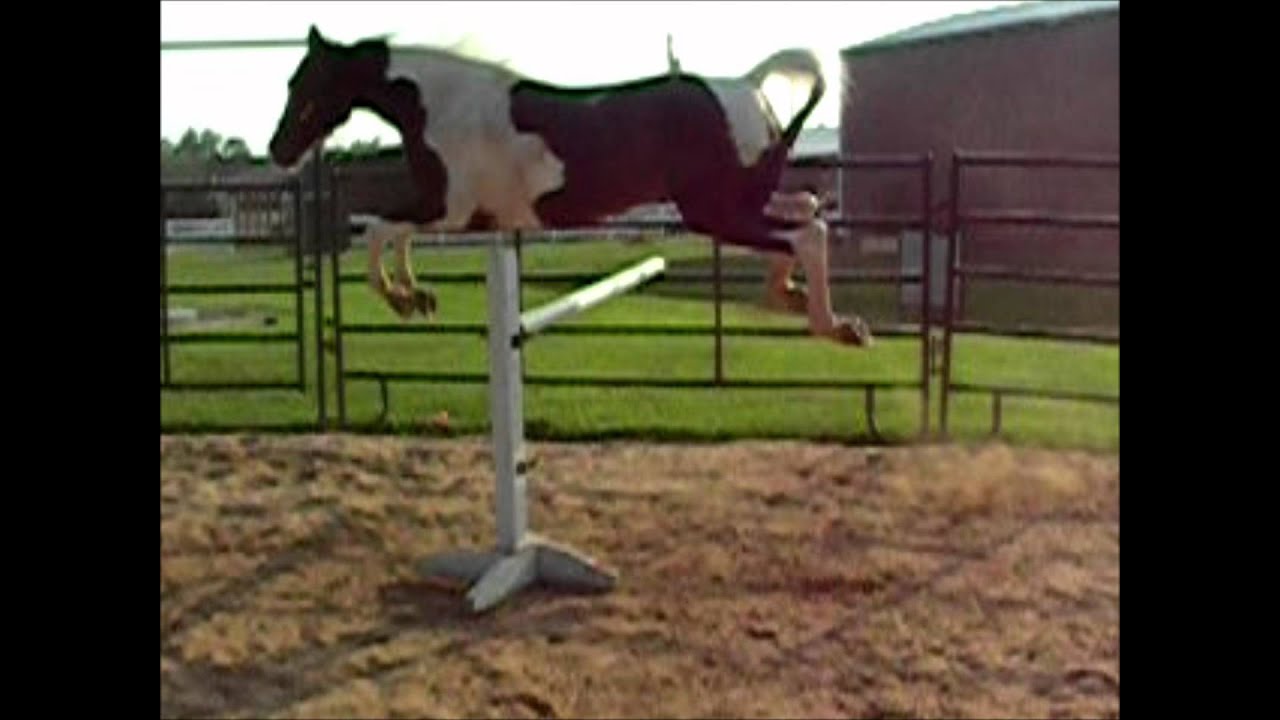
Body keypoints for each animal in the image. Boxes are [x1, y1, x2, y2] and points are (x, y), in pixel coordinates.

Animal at [269, 26, 871, 346]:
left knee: (808, 233)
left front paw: (399, 298)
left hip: (714, 212)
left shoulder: (449, 208)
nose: (278, 150)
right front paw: (416, 296)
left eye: (305, 83)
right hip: (740, 201)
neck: (441, 104)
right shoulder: (447, 212)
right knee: (808, 210)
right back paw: (793, 298)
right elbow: (393, 234)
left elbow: (377, 229)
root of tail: (747, 87)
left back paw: (834, 326)